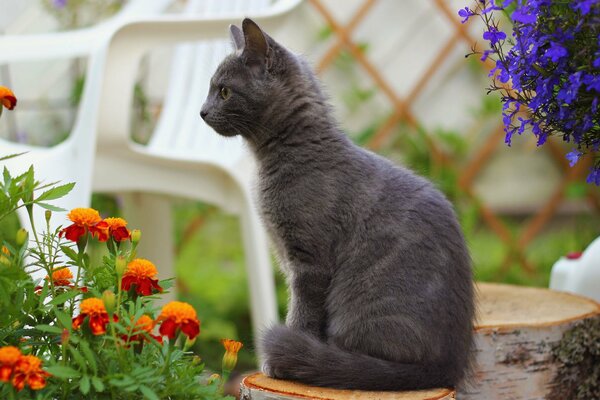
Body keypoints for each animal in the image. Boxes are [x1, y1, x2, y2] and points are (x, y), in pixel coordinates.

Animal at [200, 18, 474, 390]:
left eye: (225, 91)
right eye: (210, 90)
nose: (202, 111)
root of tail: (447, 367)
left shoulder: (308, 262)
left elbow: (302, 312)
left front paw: (281, 361)